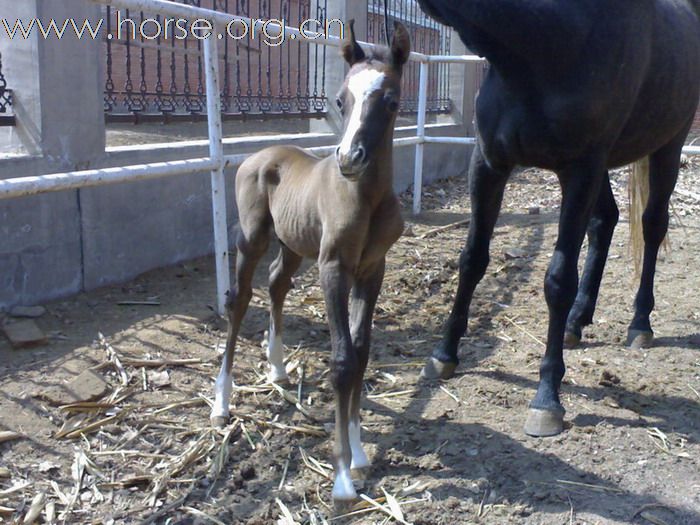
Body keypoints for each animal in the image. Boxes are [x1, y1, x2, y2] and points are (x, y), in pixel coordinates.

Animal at [212, 22, 410, 502]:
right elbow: (341, 360)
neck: (367, 200)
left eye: (391, 101)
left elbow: (361, 351)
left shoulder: (372, 270)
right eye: (340, 99)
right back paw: (222, 402)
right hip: (253, 239)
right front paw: (341, 478)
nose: (349, 159)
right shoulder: (333, 268)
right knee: (238, 300)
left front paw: (358, 452)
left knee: (277, 284)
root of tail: (259, 155)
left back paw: (278, 369)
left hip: (292, 244)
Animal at [418, 0, 696, 436]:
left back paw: (639, 324)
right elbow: (472, 260)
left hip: (668, 145)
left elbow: (558, 280)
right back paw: (575, 322)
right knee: (605, 222)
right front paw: (444, 354)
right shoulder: (488, 163)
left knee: (652, 225)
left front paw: (547, 398)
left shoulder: (580, 170)